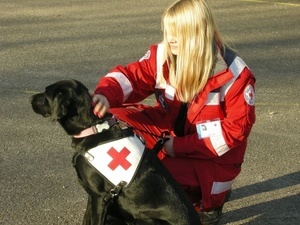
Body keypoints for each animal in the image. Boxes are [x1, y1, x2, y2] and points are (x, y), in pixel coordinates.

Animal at [30, 80, 200, 224]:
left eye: (46, 94)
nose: (31, 98)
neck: (94, 129)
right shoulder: (92, 195)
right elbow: (86, 219)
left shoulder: (100, 197)